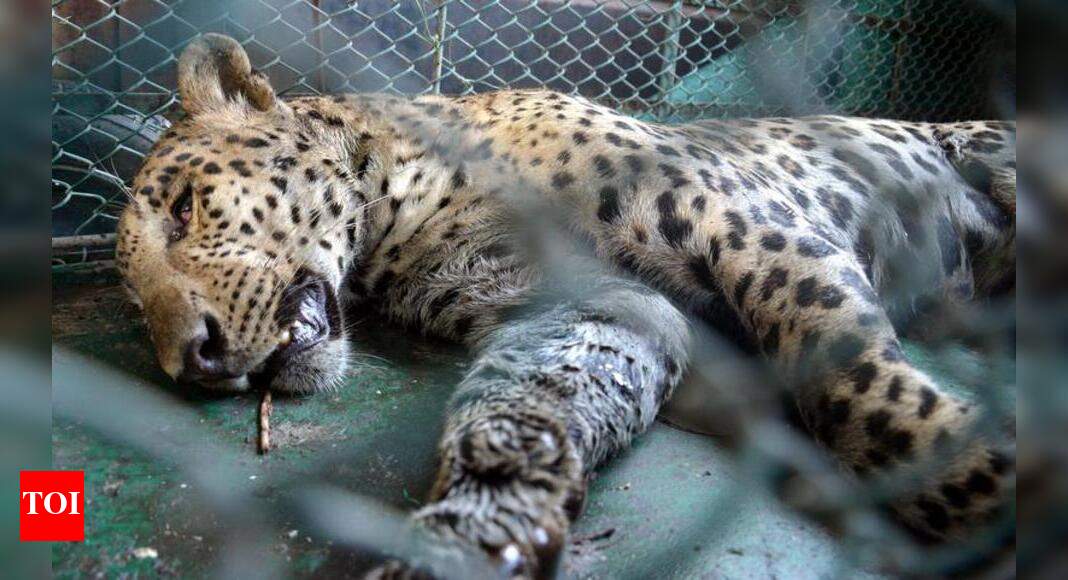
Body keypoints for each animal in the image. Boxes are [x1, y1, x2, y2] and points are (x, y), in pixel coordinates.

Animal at [116, 34, 1016, 578]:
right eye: (136, 303)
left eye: (186, 208)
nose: (191, 359)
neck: (396, 219)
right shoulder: (587, 303)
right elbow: (540, 396)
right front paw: (481, 523)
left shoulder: (737, 214)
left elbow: (848, 377)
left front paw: (979, 477)